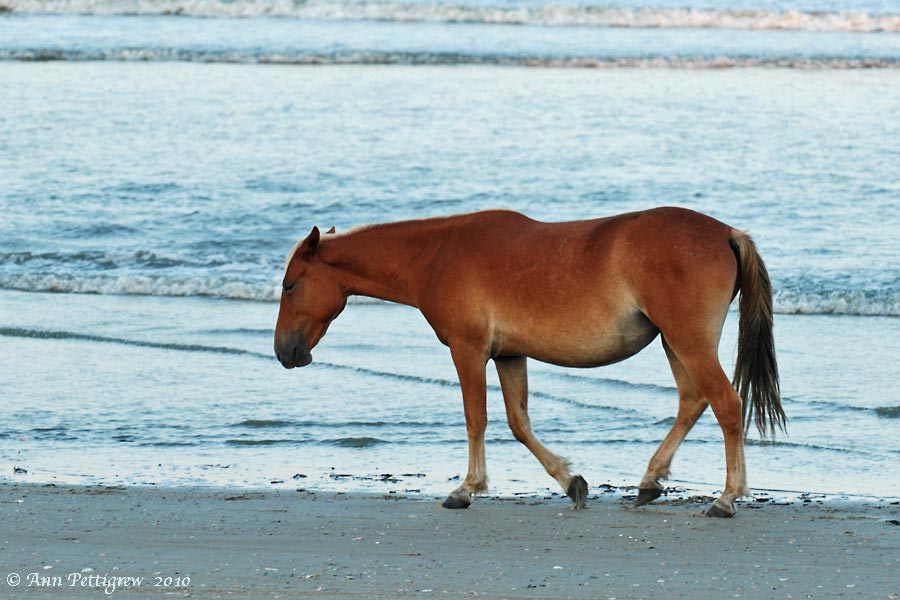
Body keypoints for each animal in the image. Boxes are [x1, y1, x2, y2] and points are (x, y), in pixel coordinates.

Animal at [272, 206, 780, 516]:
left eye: (291, 285)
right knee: (694, 401)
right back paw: (650, 481)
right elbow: (519, 423)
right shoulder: (509, 355)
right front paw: (570, 481)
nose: (284, 351)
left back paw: (726, 498)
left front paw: (466, 488)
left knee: (727, 405)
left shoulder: (469, 350)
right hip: (675, 343)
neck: (437, 255)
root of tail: (727, 234)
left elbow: (476, 418)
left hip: (688, 341)